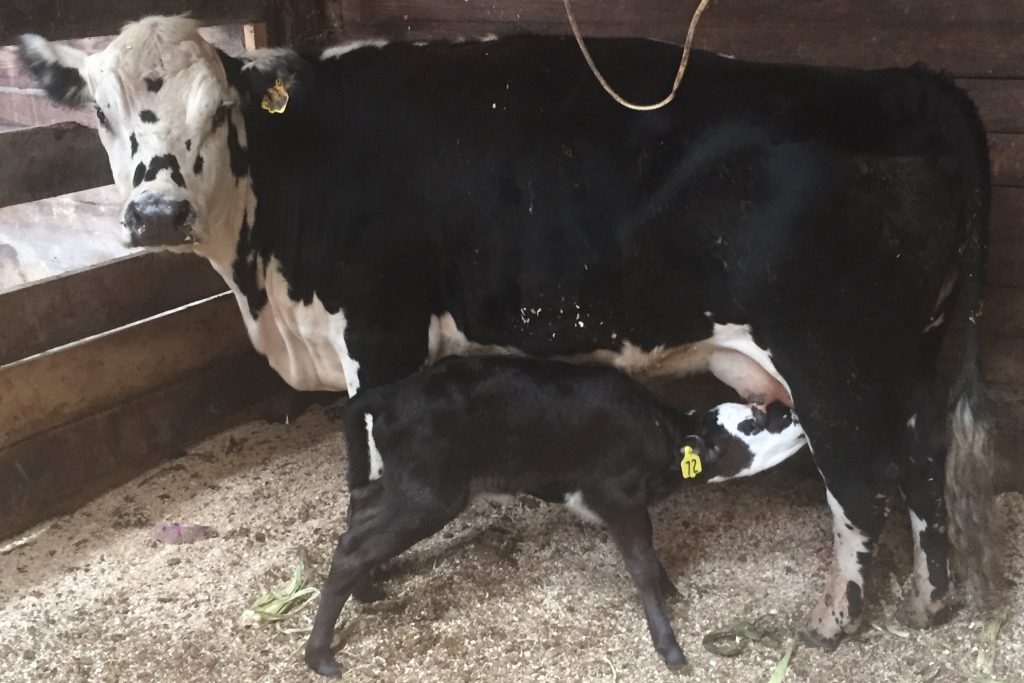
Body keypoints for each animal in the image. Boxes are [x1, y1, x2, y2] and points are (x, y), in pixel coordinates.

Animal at [303, 358, 806, 679]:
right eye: (751, 425)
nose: (790, 410)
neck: (658, 434)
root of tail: (392, 391)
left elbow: (650, 557)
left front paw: (671, 590)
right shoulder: (618, 498)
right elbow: (641, 565)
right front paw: (669, 646)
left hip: (401, 488)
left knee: (356, 519)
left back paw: (366, 591)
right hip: (427, 495)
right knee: (350, 548)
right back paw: (320, 655)